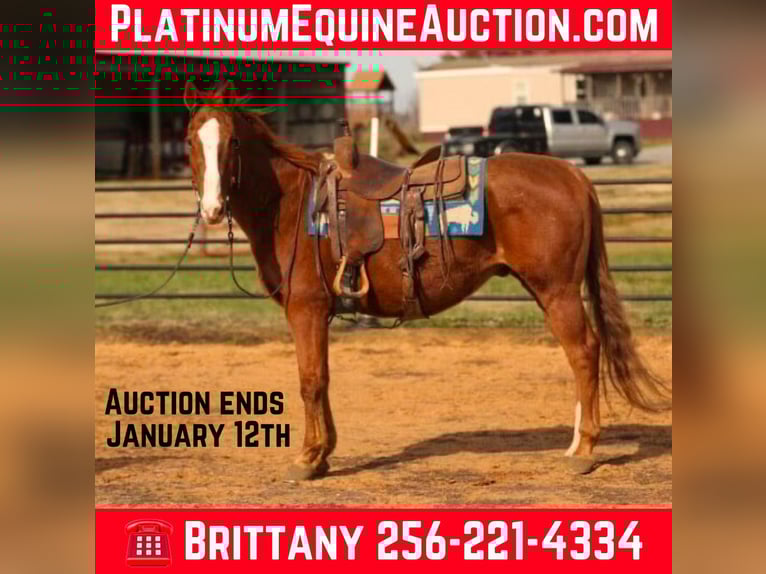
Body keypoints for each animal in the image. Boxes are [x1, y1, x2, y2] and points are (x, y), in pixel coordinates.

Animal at [183, 81, 669, 479]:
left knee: (584, 353)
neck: (293, 203)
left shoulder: (307, 308)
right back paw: (574, 444)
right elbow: (323, 377)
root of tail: (572, 173)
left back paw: (584, 450)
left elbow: (310, 380)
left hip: (559, 291)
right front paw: (324, 453)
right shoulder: (319, 314)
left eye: (232, 141)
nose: (211, 208)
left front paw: (307, 458)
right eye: (191, 139)